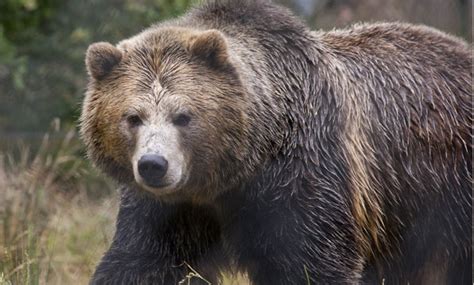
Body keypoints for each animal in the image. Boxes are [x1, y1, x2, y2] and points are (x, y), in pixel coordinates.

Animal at [80, 1, 470, 282]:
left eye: (183, 115)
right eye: (133, 117)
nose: (153, 165)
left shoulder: (303, 174)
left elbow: (312, 262)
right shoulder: (170, 211)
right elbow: (142, 260)